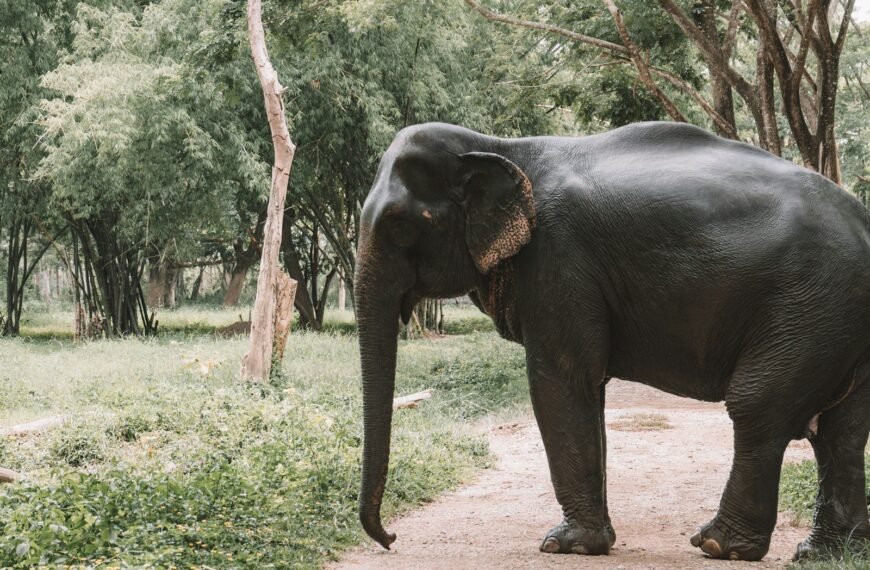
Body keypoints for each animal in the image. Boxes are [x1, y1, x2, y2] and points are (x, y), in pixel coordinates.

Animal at [354, 121, 870, 561]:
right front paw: (589, 543)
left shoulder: (558, 259)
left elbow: (561, 381)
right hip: (837, 314)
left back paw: (719, 546)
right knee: (841, 429)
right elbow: (587, 386)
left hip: (810, 302)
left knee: (759, 405)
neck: (500, 145)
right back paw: (822, 553)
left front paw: (566, 546)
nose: (391, 538)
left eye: (399, 225)